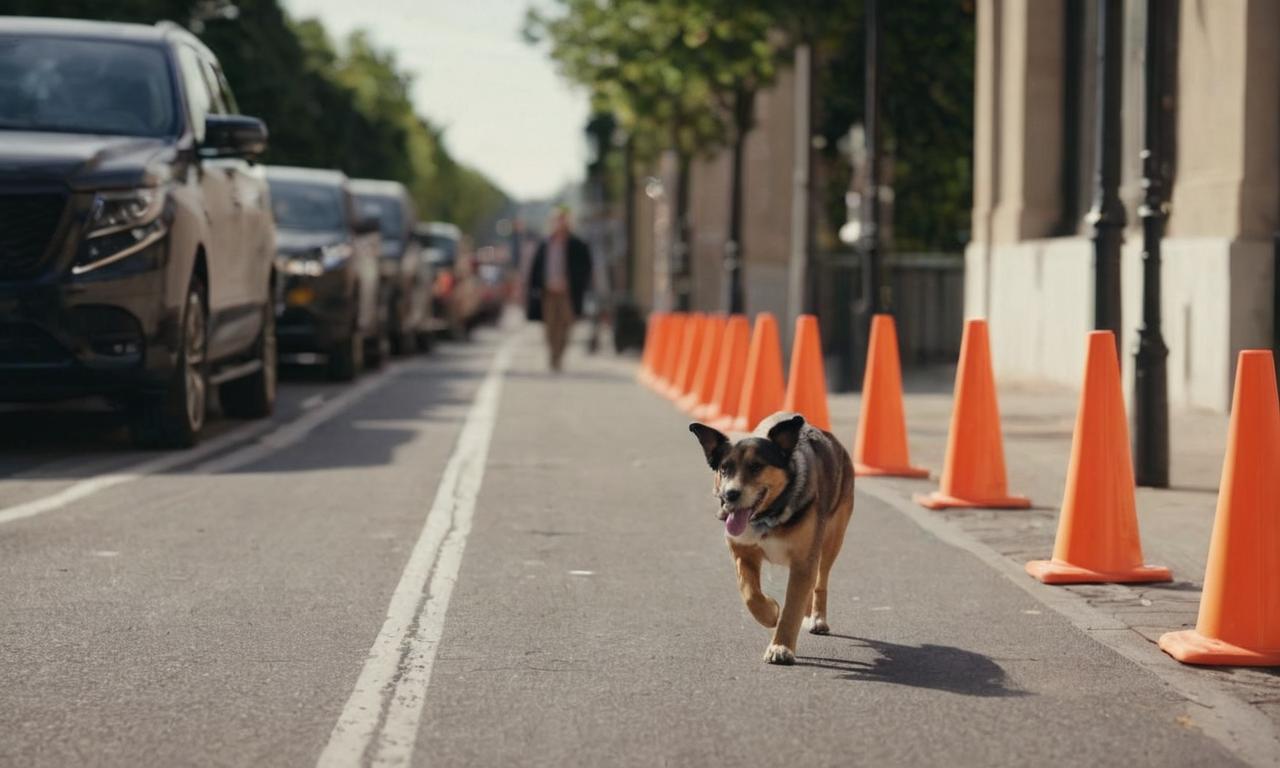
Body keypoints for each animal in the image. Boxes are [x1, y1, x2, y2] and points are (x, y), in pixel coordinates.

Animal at [686, 412, 855, 660]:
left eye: (756, 466)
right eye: (724, 469)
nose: (730, 494)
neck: (769, 515)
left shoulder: (804, 558)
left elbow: (792, 607)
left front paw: (781, 646)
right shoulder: (741, 551)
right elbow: (749, 593)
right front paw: (770, 612)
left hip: (833, 538)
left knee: (820, 580)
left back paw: (817, 618)